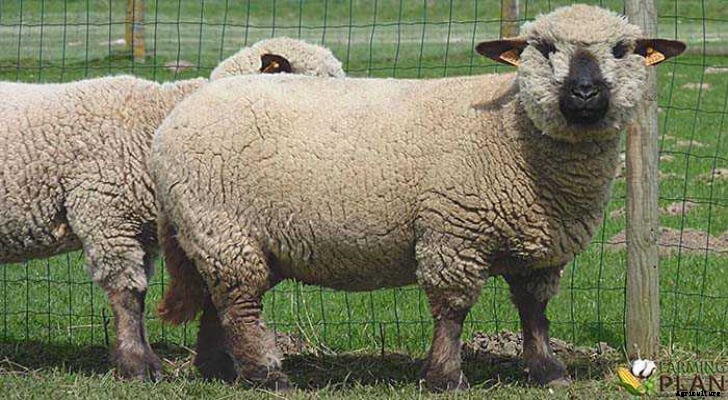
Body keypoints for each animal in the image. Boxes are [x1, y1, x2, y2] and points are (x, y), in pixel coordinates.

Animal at [150, 5, 684, 391]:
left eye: (622, 49)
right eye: (545, 47)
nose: (586, 92)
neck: (512, 130)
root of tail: (178, 112)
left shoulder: (540, 246)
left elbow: (534, 310)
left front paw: (547, 371)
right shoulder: (453, 231)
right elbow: (453, 309)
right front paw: (445, 377)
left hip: (222, 237)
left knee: (217, 300)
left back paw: (218, 370)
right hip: (223, 227)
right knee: (240, 305)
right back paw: (267, 375)